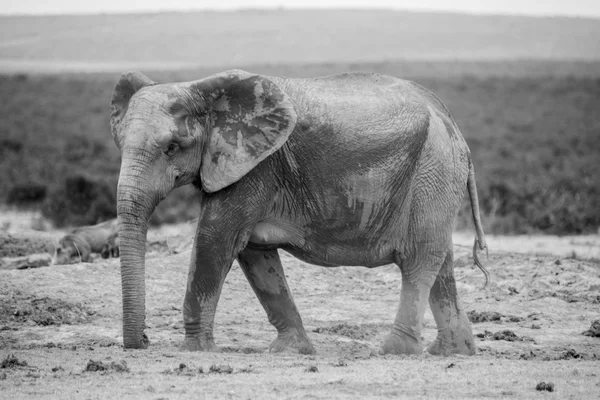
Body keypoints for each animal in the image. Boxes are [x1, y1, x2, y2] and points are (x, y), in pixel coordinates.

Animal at [110, 69, 490, 356]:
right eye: (120, 142)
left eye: (172, 147)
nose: (143, 341)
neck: (201, 88)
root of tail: (454, 126)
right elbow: (255, 254)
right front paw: (291, 351)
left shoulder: (257, 167)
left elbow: (215, 238)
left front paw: (196, 350)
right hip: (437, 177)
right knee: (441, 262)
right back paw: (453, 352)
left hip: (433, 169)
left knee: (419, 258)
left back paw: (395, 351)